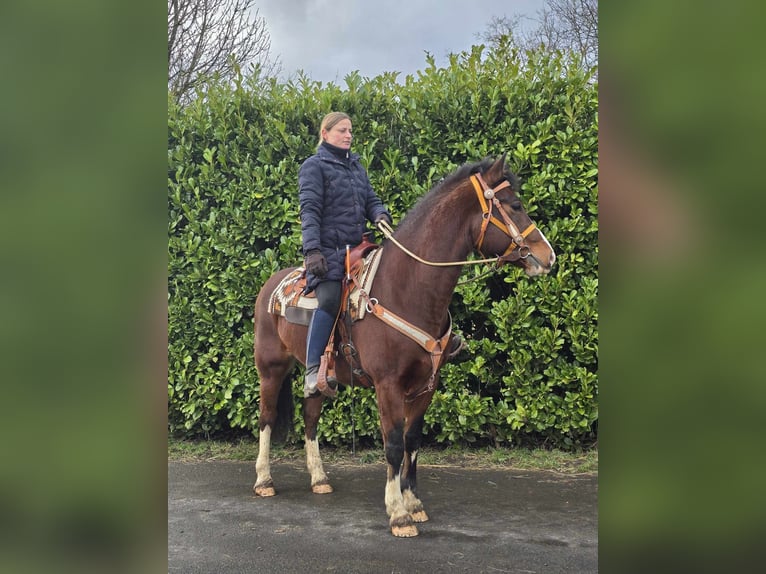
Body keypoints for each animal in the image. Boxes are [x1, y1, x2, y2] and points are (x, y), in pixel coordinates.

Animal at [254, 155, 560, 536]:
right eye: (515, 205)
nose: (548, 256)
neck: (407, 288)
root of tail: (272, 284)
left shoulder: (426, 384)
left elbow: (413, 440)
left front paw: (414, 503)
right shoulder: (388, 386)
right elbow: (394, 444)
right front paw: (398, 512)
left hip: (322, 380)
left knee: (310, 419)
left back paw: (319, 478)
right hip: (271, 369)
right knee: (266, 418)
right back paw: (264, 481)